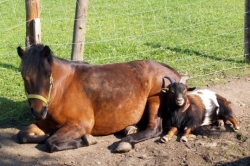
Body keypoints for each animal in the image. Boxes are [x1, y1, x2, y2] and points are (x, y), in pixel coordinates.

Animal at [16, 44, 181, 153]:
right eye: (24, 76)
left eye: (48, 74)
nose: (38, 111)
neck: (62, 90)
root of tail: (175, 74)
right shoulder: (45, 123)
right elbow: (22, 135)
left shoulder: (80, 125)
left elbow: (51, 143)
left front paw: (85, 139)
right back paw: (130, 128)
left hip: (154, 99)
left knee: (154, 128)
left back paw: (125, 142)